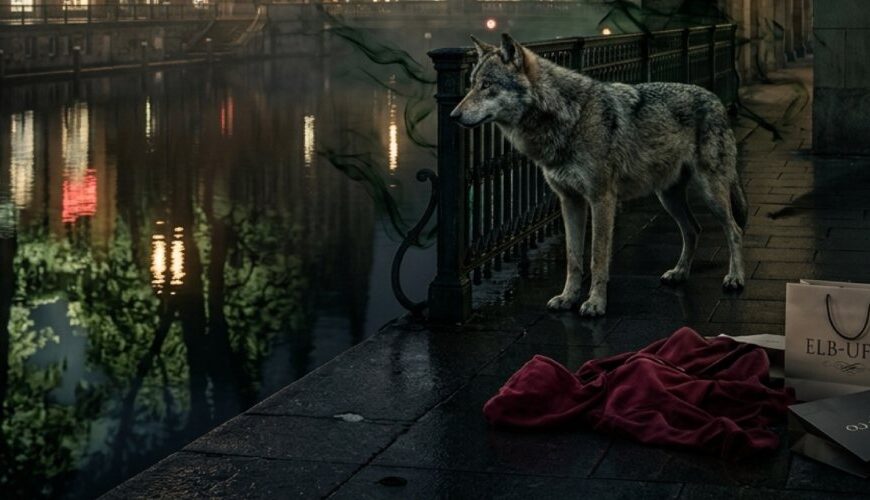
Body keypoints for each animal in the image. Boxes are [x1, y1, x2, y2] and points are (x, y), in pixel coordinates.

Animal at [450, 34, 747, 316]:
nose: (453, 115)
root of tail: (715, 99)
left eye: (487, 85)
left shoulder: (601, 199)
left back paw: (735, 278)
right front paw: (568, 298)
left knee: (734, 230)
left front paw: (595, 304)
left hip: (711, 194)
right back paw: (679, 273)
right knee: (693, 230)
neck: (569, 117)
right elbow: (573, 259)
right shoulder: (570, 201)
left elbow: (597, 258)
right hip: (668, 198)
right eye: (472, 84)